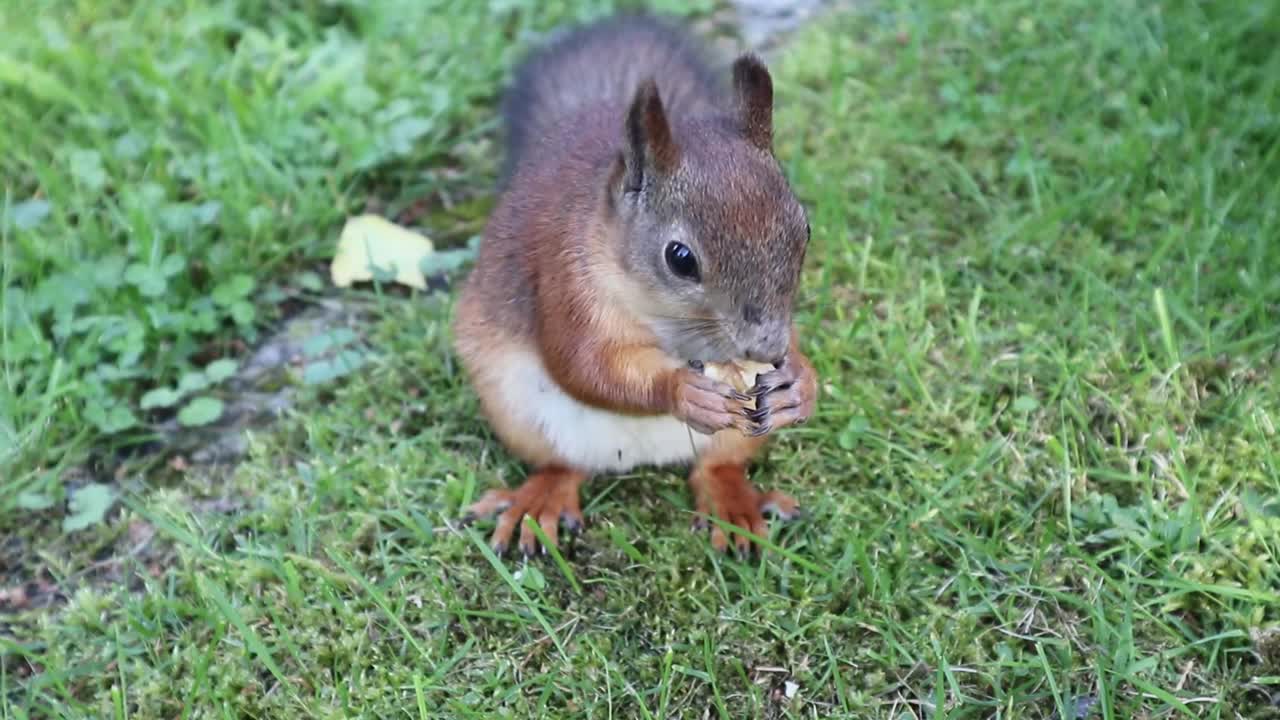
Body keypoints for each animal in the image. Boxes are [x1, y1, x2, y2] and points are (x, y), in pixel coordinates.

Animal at [450, 14, 814, 558]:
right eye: (680, 258)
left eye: (804, 229)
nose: (766, 349)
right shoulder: (566, 282)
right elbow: (584, 366)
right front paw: (682, 390)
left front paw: (799, 383)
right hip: (515, 409)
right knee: (562, 465)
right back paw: (538, 504)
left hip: (737, 439)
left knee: (717, 466)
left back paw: (734, 508)